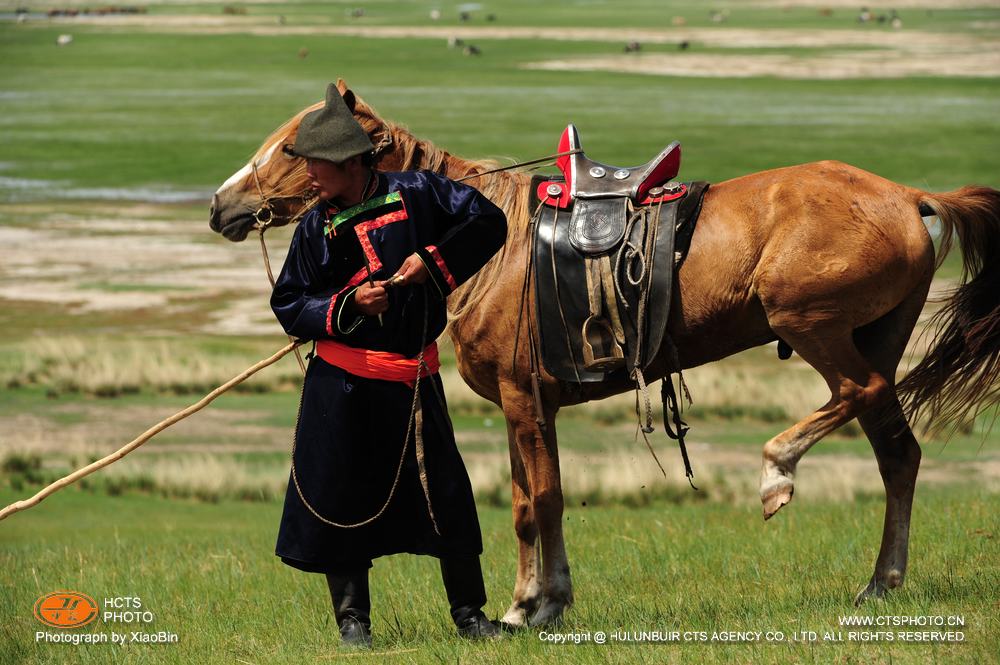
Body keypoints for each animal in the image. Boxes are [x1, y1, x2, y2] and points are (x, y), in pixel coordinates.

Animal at [209, 80, 1000, 624]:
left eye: (291, 148)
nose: (220, 204)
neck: (489, 249)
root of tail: (908, 194)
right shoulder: (533, 406)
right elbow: (534, 501)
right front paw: (538, 602)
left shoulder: (524, 400)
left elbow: (538, 502)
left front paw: (534, 605)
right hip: (874, 333)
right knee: (897, 453)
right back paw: (880, 582)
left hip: (813, 324)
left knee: (858, 395)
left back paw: (778, 472)